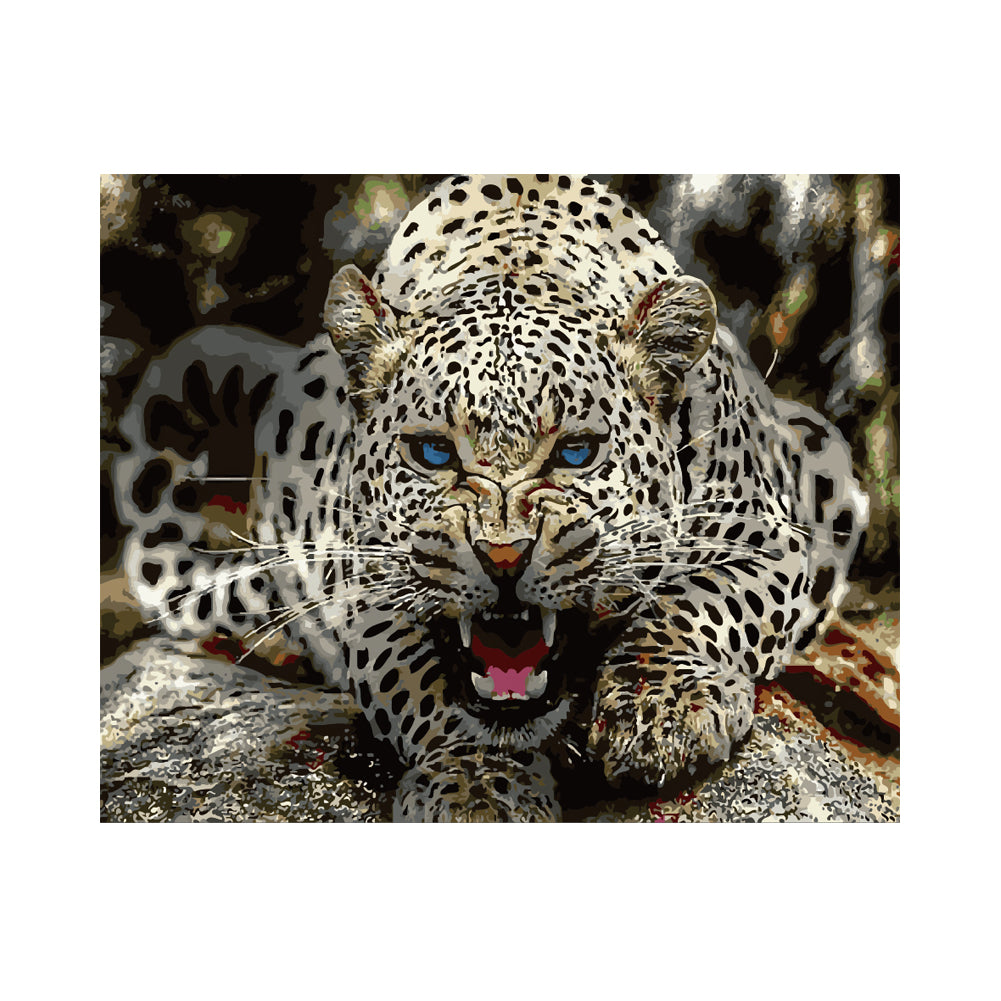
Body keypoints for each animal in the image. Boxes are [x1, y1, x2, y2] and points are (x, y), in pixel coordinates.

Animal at [112, 174, 868, 822]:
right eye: (432, 453)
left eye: (576, 452)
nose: (503, 558)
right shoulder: (361, 588)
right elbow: (424, 684)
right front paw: (478, 783)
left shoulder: (767, 537)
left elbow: (695, 605)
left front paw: (663, 709)